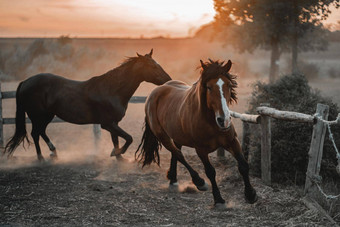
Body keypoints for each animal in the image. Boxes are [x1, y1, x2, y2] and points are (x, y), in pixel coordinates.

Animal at [3, 48, 171, 160]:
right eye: (153, 66)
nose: (168, 79)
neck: (111, 90)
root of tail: (25, 82)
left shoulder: (113, 123)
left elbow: (116, 140)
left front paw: (118, 157)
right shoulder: (107, 123)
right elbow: (128, 138)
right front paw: (117, 153)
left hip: (47, 116)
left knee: (41, 132)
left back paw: (54, 152)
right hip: (38, 116)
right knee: (35, 134)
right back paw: (41, 157)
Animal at [135, 59, 258, 207]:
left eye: (229, 85)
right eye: (209, 87)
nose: (224, 120)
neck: (211, 123)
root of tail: (156, 91)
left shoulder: (232, 141)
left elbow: (243, 165)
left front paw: (251, 195)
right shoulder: (201, 150)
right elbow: (210, 172)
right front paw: (218, 199)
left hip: (177, 136)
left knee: (176, 154)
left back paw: (173, 180)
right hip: (162, 136)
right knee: (179, 154)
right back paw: (198, 182)